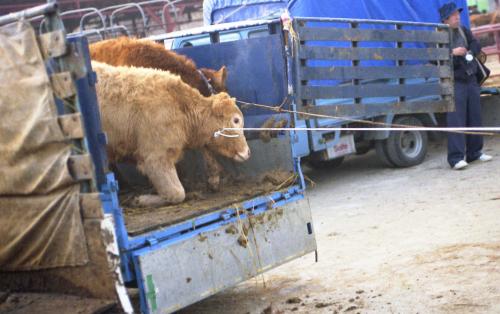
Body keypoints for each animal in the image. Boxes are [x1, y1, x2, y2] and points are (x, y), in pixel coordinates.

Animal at [91, 61, 249, 209]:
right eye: (236, 120)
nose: (247, 152)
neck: (179, 105)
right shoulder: (155, 157)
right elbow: (177, 193)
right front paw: (140, 200)